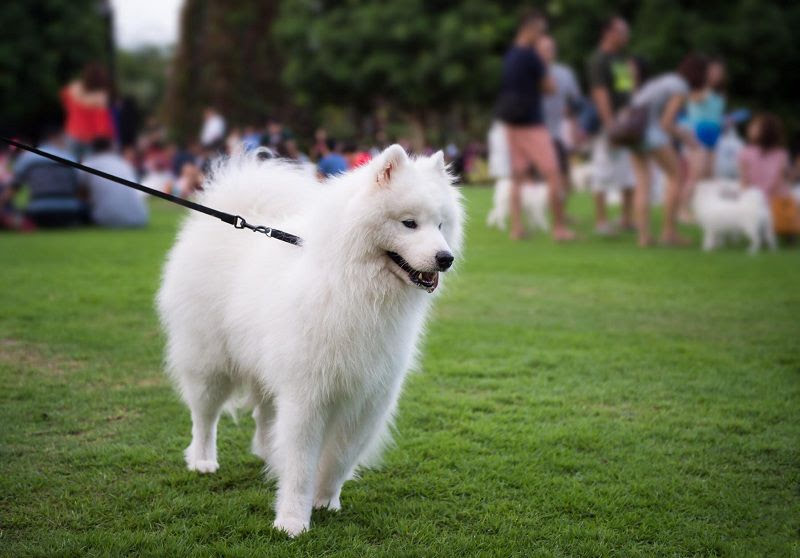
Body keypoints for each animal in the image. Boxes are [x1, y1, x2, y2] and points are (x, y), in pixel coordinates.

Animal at [156, 145, 462, 540]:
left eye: (440, 225)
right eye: (409, 223)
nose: (446, 258)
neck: (356, 288)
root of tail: (235, 213)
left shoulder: (368, 397)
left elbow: (341, 457)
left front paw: (325, 500)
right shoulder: (308, 395)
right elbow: (301, 464)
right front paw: (292, 521)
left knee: (263, 414)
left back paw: (268, 453)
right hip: (210, 363)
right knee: (204, 417)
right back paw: (203, 460)